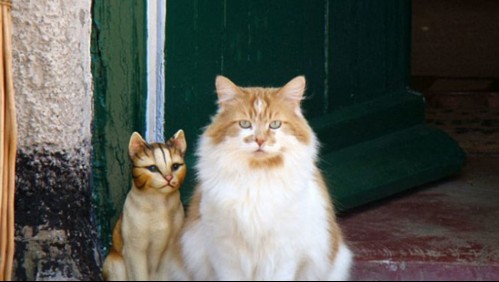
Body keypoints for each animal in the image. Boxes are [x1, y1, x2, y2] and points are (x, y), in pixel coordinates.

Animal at [102, 131, 188, 280]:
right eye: (152, 168)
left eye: (175, 166)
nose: (168, 178)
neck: (161, 204)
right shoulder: (134, 249)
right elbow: (138, 275)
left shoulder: (170, 247)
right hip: (116, 264)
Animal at [182, 75, 354, 280]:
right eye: (245, 124)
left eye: (275, 124)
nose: (260, 140)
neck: (257, 175)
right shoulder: (225, 252)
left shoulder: (283, 252)